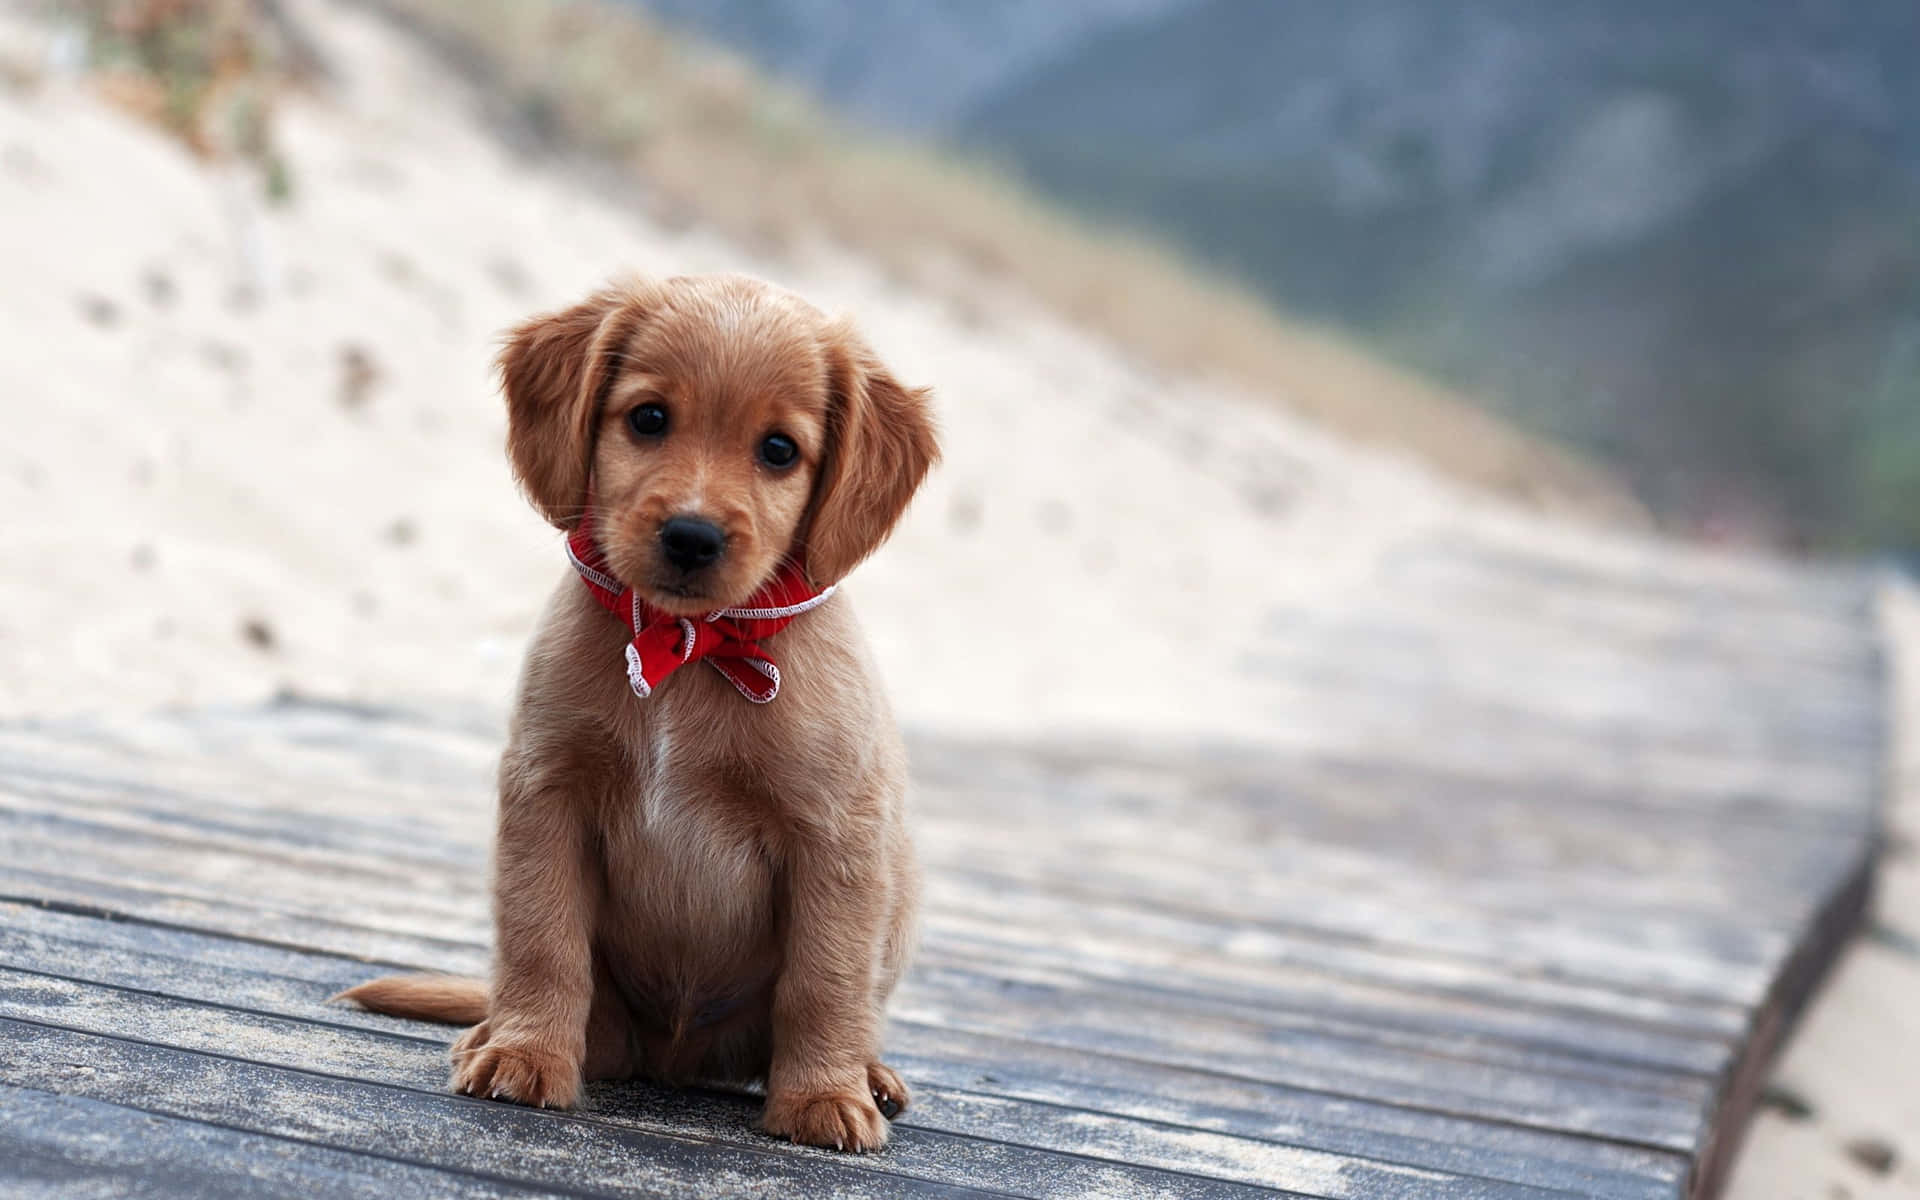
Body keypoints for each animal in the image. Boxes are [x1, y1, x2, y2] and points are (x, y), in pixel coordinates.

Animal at [349, 274, 948, 1152]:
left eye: (779, 450)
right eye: (649, 418)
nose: (691, 536)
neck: (689, 650)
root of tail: (676, 1058)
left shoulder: (836, 835)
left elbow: (825, 978)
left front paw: (823, 1097)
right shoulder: (548, 794)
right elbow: (544, 941)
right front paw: (527, 1053)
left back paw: (869, 1073)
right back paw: (495, 1031)